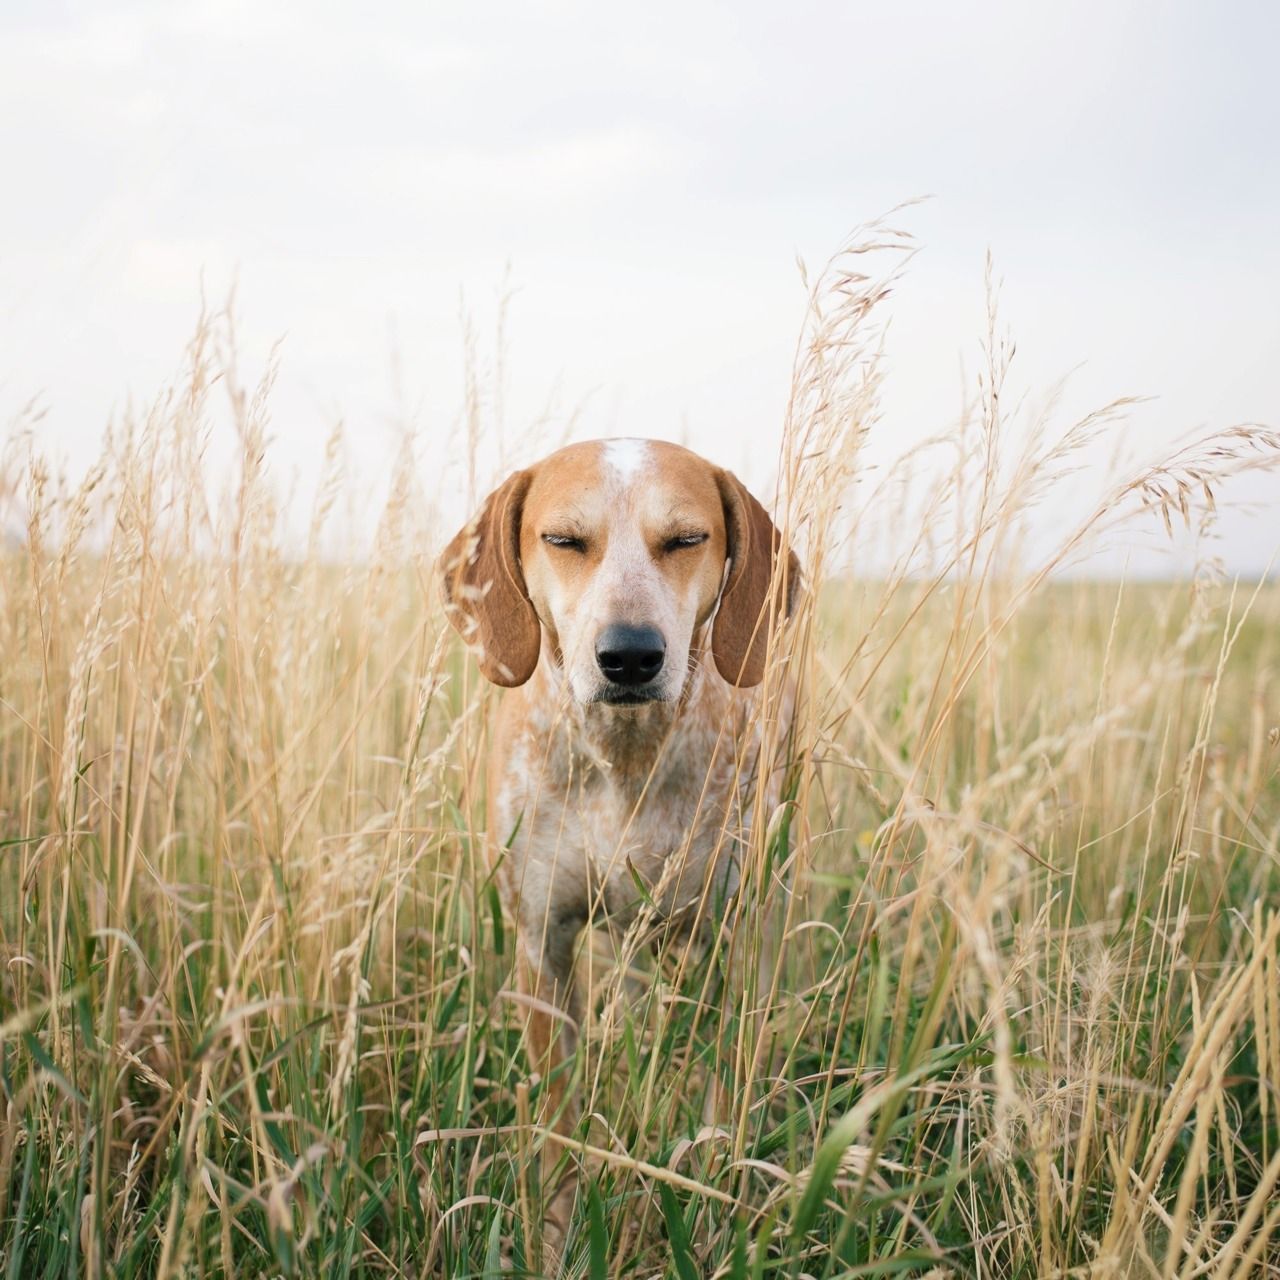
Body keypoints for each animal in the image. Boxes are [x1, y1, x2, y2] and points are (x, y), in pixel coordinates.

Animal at [440, 435, 798, 1244]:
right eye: (564, 540)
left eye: (687, 539)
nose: (631, 655)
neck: (625, 759)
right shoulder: (542, 942)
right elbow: (558, 1120)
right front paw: (556, 1235)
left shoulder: (746, 943)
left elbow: (724, 1105)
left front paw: (714, 1219)